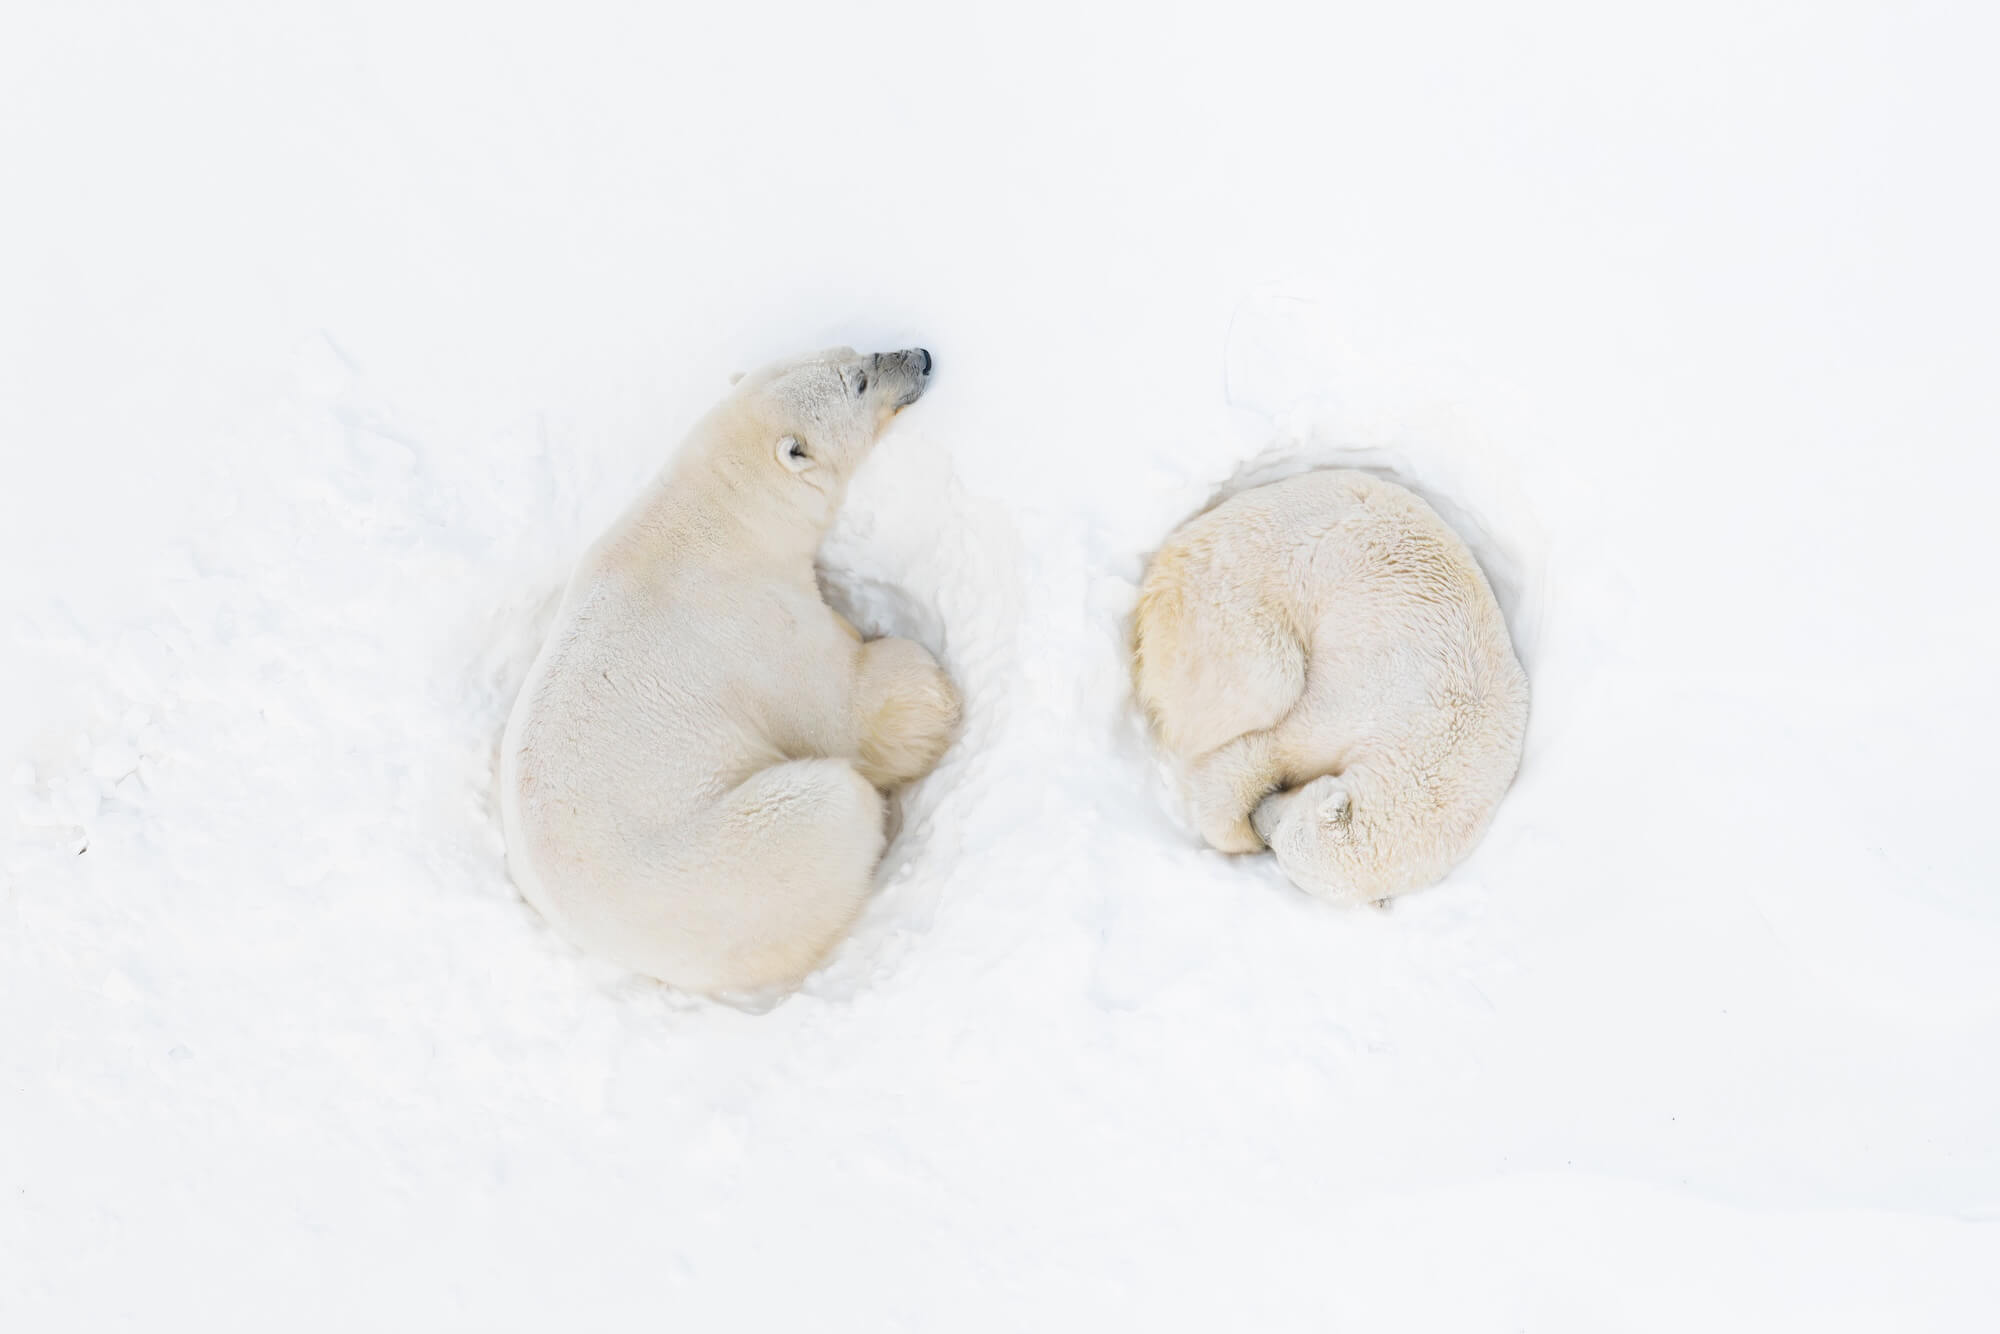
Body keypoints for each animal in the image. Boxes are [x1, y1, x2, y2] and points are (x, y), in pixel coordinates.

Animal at [499, 346, 958, 994]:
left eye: (856, 352)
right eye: (862, 381)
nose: (919, 356)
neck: (716, 515)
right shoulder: (754, 624)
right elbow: (845, 709)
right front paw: (932, 694)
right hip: (739, 857)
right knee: (834, 802)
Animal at [1132, 469, 1528, 905]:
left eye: (1281, 842)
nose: (1257, 818)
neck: (1447, 737)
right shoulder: (1376, 692)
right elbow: (1281, 744)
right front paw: (1233, 832)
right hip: (1228, 599)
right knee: (1265, 682)